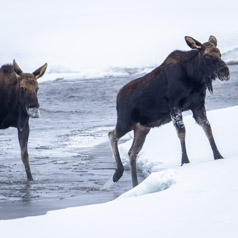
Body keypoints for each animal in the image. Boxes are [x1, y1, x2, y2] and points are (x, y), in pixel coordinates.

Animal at [109, 35, 230, 188]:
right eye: (207, 55)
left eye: (220, 53)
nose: (225, 72)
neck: (194, 77)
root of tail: (117, 98)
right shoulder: (174, 105)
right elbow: (182, 132)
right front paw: (185, 162)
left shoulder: (198, 105)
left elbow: (207, 127)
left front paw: (218, 156)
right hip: (126, 122)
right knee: (112, 134)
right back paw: (117, 173)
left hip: (142, 127)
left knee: (132, 152)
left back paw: (135, 184)